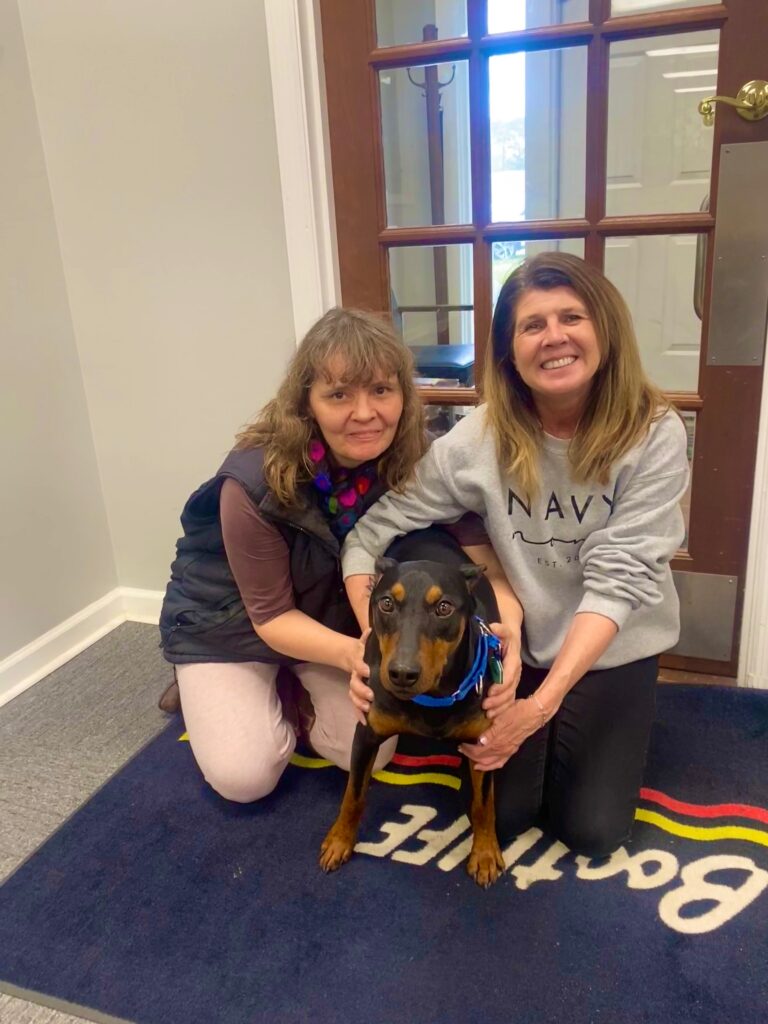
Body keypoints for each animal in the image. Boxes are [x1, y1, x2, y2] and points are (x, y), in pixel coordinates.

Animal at [321, 557, 507, 884]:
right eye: (386, 603)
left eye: (444, 607)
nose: (402, 674)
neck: (432, 698)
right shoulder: (366, 734)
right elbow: (353, 795)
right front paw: (339, 841)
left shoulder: (483, 744)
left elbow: (484, 804)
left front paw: (484, 854)